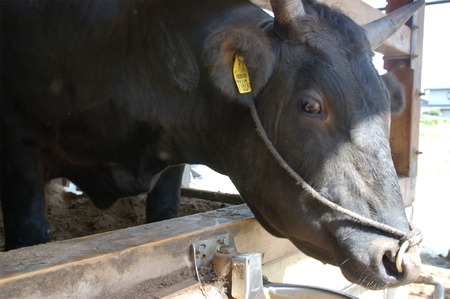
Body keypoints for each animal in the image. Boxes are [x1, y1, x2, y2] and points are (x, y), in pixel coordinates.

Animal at [0, 0, 422, 290]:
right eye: (310, 105)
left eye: (386, 107)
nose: (399, 258)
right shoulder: (18, 149)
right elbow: (30, 236)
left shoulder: (170, 165)